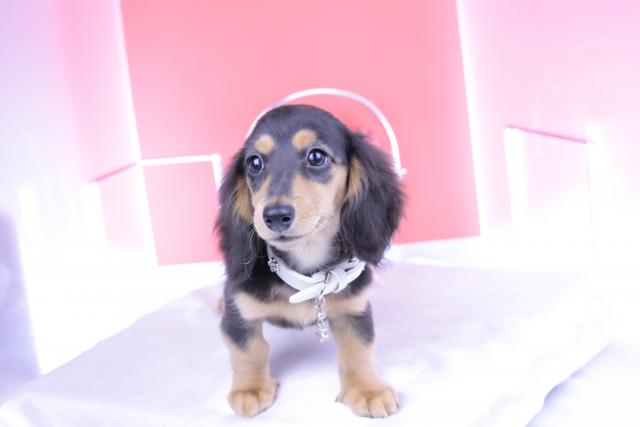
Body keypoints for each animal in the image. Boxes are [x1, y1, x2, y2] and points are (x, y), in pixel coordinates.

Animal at [216, 104, 404, 418]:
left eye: (316, 156)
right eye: (254, 163)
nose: (275, 216)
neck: (305, 274)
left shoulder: (354, 307)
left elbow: (358, 348)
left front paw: (367, 389)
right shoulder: (239, 308)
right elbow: (248, 349)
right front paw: (250, 389)